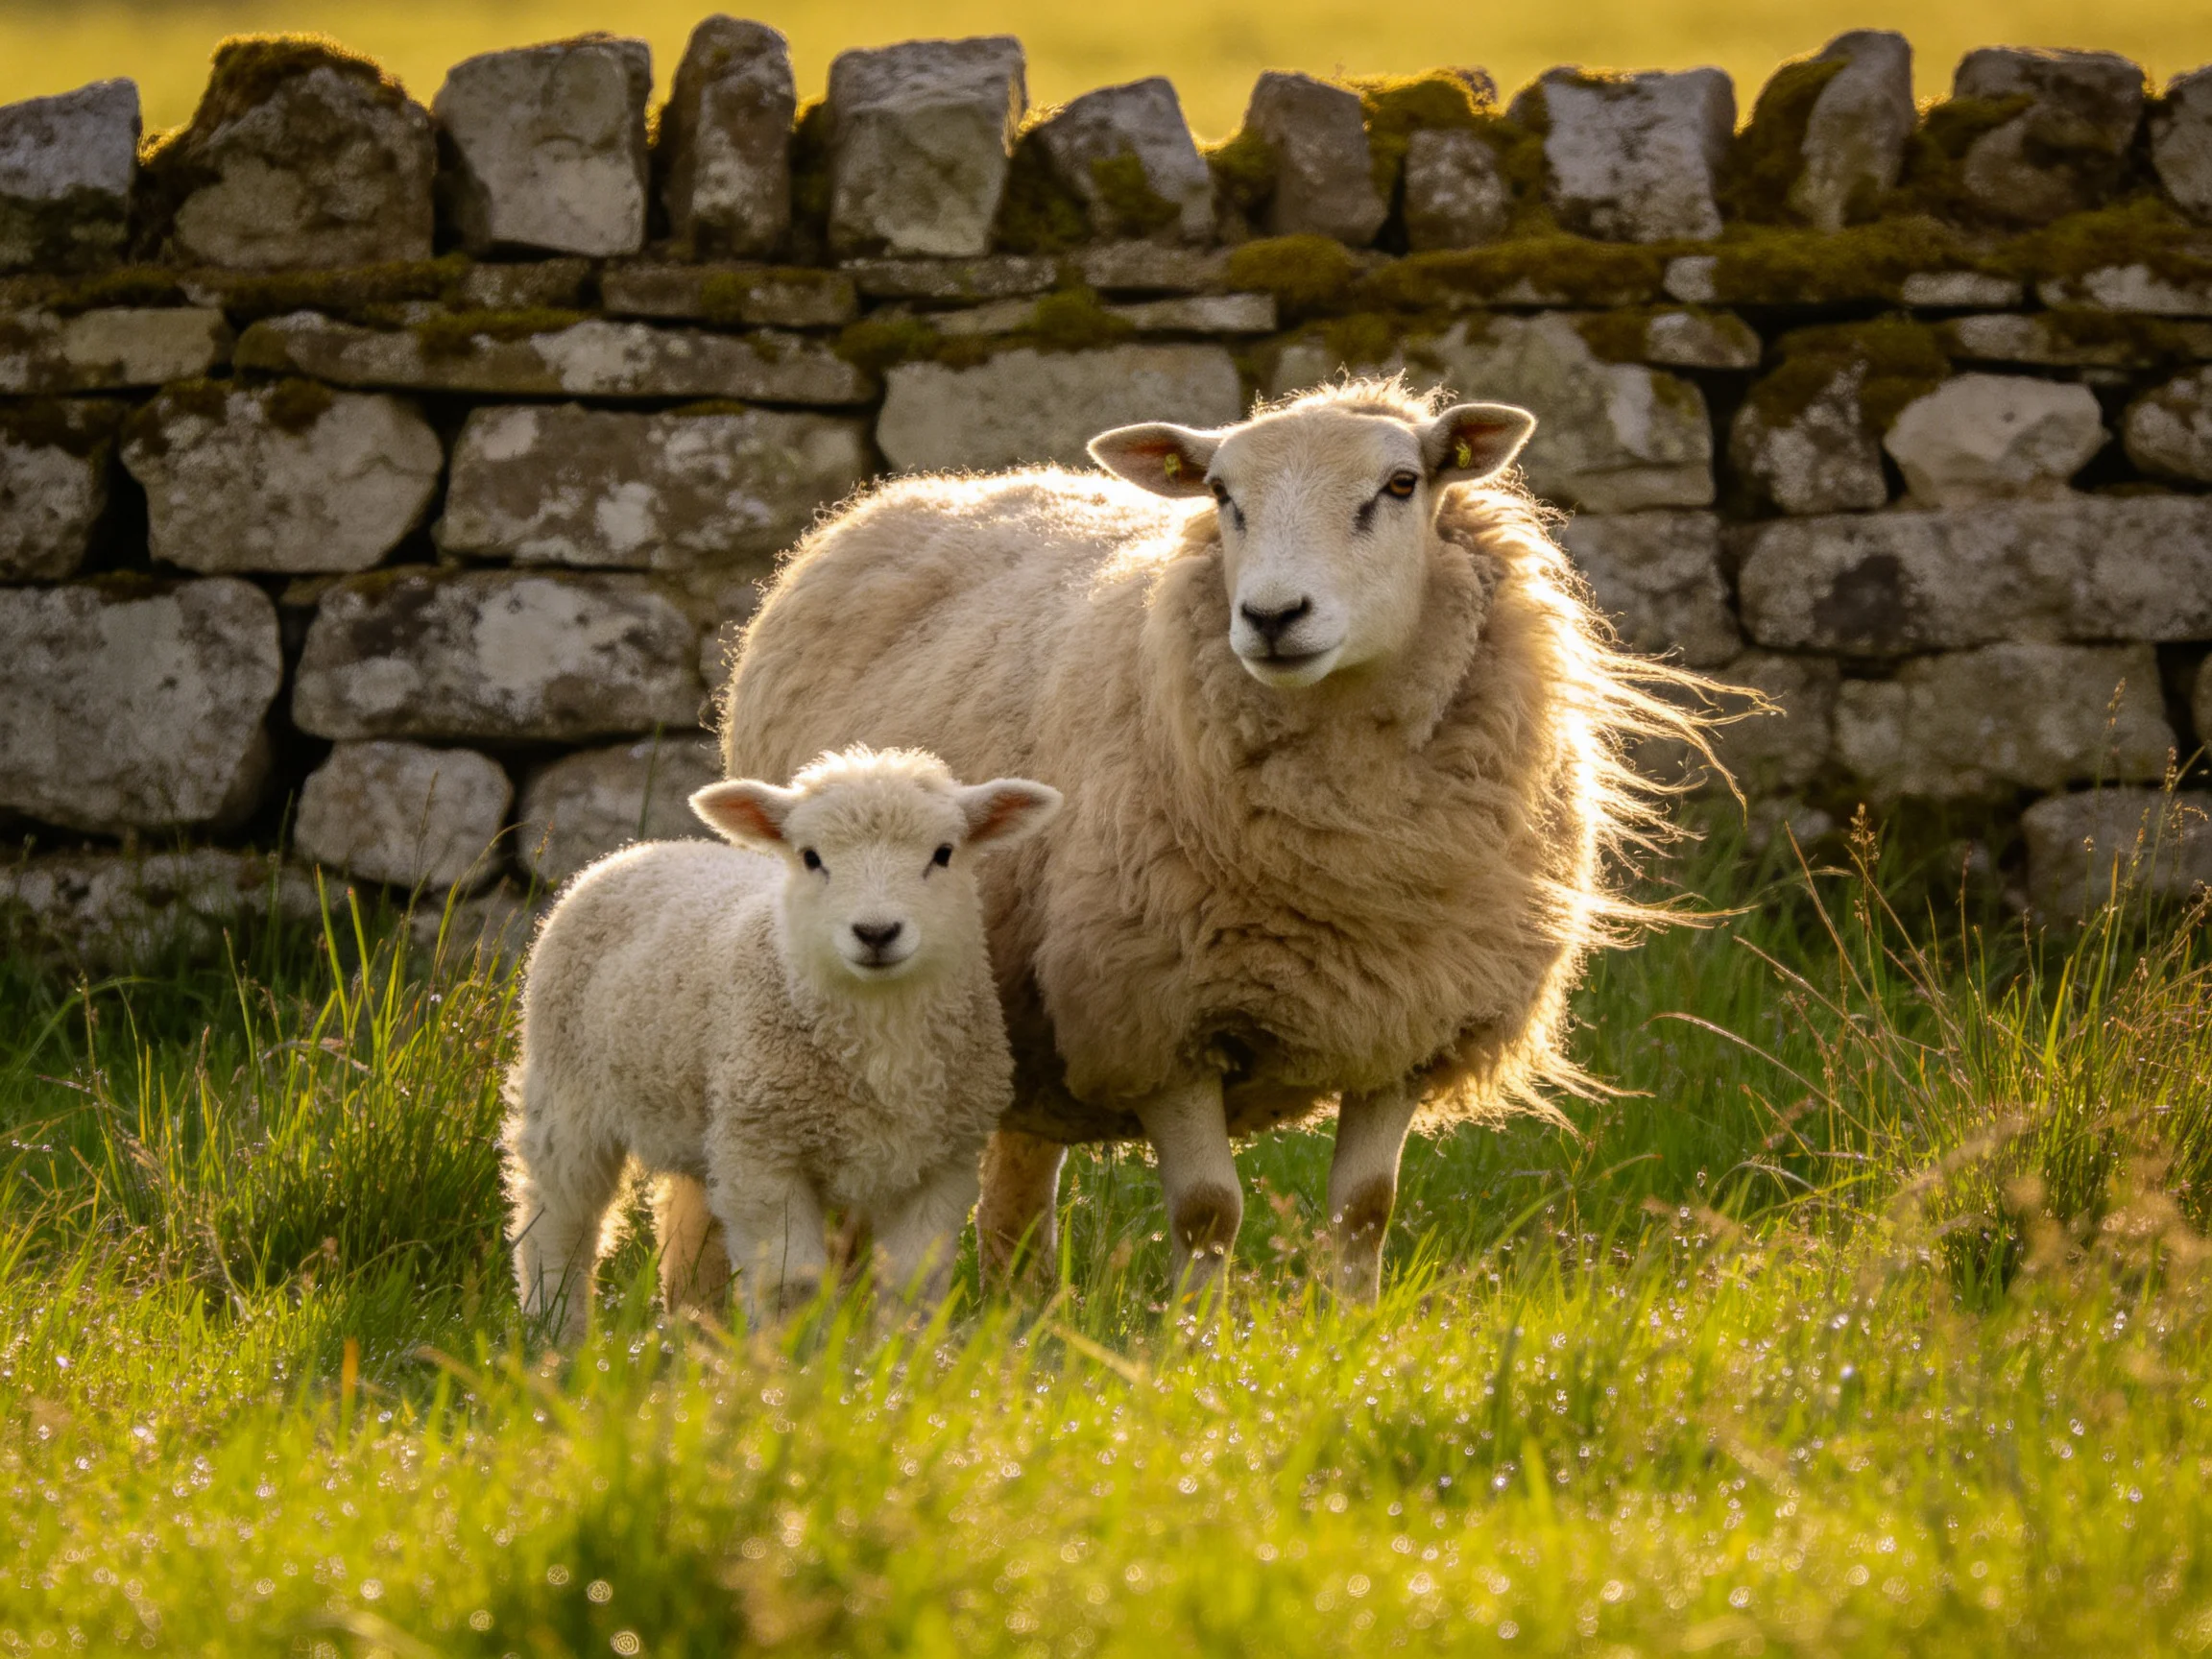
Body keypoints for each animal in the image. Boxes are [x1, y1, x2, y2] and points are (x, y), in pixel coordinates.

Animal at [502, 744, 1061, 1337]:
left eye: (944, 854)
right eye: (811, 858)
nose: (876, 933)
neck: (879, 1026)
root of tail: (641, 850)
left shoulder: (942, 1164)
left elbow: (913, 1286)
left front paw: (899, 1353)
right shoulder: (765, 1156)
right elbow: (793, 1285)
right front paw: (790, 1357)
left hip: (704, 1113)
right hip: (566, 1091)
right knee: (557, 1219)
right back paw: (556, 1331)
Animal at [719, 378, 1719, 1304]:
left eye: (1401, 484)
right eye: (1221, 493)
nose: (1273, 617)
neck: (1351, 855)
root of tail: (923, 491)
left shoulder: (1409, 1016)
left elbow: (1366, 1210)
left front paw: (1354, 1331)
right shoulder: (1155, 1013)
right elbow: (1208, 1213)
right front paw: (1195, 1344)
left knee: (1017, 1190)